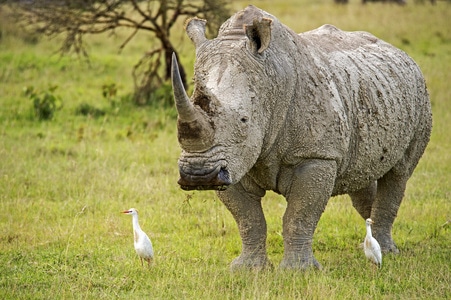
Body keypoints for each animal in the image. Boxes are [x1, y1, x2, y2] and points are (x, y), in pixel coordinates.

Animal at [171, 5, 432, 270]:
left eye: (244, 120)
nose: (198, 176)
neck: (269, 79)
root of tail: (402, 53)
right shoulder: (233, 162)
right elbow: (248, 219)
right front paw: (248, 269)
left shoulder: (316, 155)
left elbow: (299, 215)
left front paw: (298, 271)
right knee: (362, 175)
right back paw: (370, 245)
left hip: (419, 94)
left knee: (399, 173)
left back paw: (388, 252)